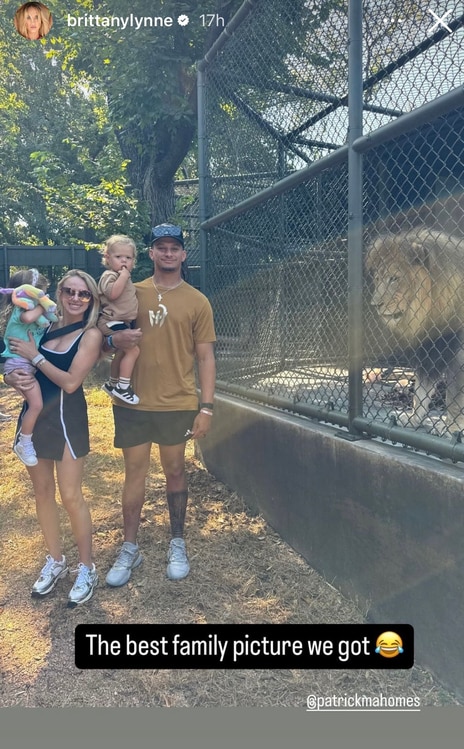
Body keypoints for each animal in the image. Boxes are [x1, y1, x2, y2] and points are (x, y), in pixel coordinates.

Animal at [366, 231, 464, 436]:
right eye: (378, 279)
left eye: (394, 279)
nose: (375, 304)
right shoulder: (432, 347)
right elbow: (421, 389)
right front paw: (413, 418)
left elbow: (455, 395)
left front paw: (452, 427)